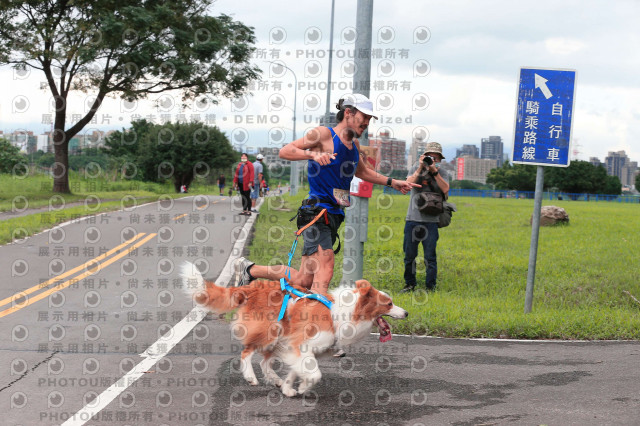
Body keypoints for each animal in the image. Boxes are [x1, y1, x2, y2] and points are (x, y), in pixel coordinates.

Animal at [181, 262, 408, 397]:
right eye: (389, 304)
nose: (406, 313)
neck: (345, 312)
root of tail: (252, 287)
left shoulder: (297, 348)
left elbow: (296, 370)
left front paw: (289, 387)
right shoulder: (301, 344)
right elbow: (315, 374)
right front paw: (304, 387)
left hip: (278, 338)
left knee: (264, 362)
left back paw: (277, 381)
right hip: (269, 332)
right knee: (246, 354)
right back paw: (251, 377)